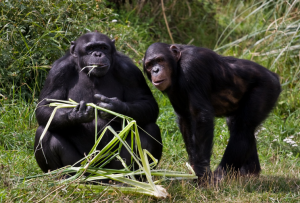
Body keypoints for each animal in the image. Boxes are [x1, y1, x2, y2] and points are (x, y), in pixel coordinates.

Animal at [34, 32, 163, 172]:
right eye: (90, 48)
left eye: (103, 47)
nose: (98, 54)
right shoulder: (57, 72)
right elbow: (45, 106)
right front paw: (77, 114)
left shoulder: (130, 71)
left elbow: (146, 102)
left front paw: (114, 108)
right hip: (80, 164)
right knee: (45, 133)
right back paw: (63, 175)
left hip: (115, 165)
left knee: (149, 129)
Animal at [143, 42, 282, 184]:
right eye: (149, 65)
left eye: (160, 60)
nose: (155, 70)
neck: (177, 66)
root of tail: (275, 76)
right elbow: (185, 119)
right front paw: (193, 169)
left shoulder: (192, 66)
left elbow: (201, 116)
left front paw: (201, 172)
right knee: (236, 125)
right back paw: (250, 171)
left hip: (267, 89)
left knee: (243, 127)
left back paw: (222, 174)